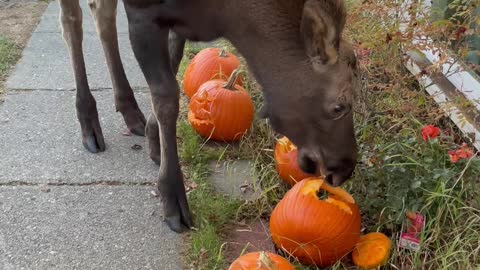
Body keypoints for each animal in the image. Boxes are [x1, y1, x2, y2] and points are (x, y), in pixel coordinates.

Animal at [58, 0, 358, 232]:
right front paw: (172, 198)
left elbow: (173, 67)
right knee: (72, 20)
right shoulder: (143, 12)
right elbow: (166, 95)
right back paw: (88, 121)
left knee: (101, 13)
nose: (345, 167)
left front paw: (154, 141)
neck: (227, 16)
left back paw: (130, 110)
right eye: (339, 106)